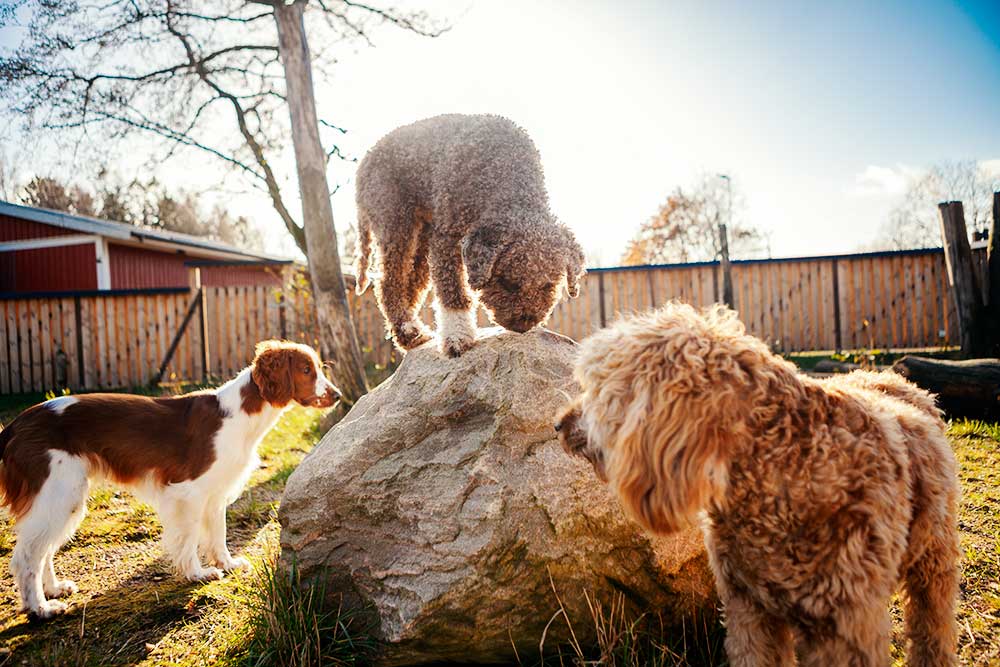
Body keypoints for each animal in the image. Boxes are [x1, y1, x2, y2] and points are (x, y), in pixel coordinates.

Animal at [556, 304, 960, 667]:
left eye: (597, 390)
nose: (559, 423)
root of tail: (896, 381)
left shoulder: (845, 625)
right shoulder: (749, 612)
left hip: (934, 560)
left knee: (933, 625)